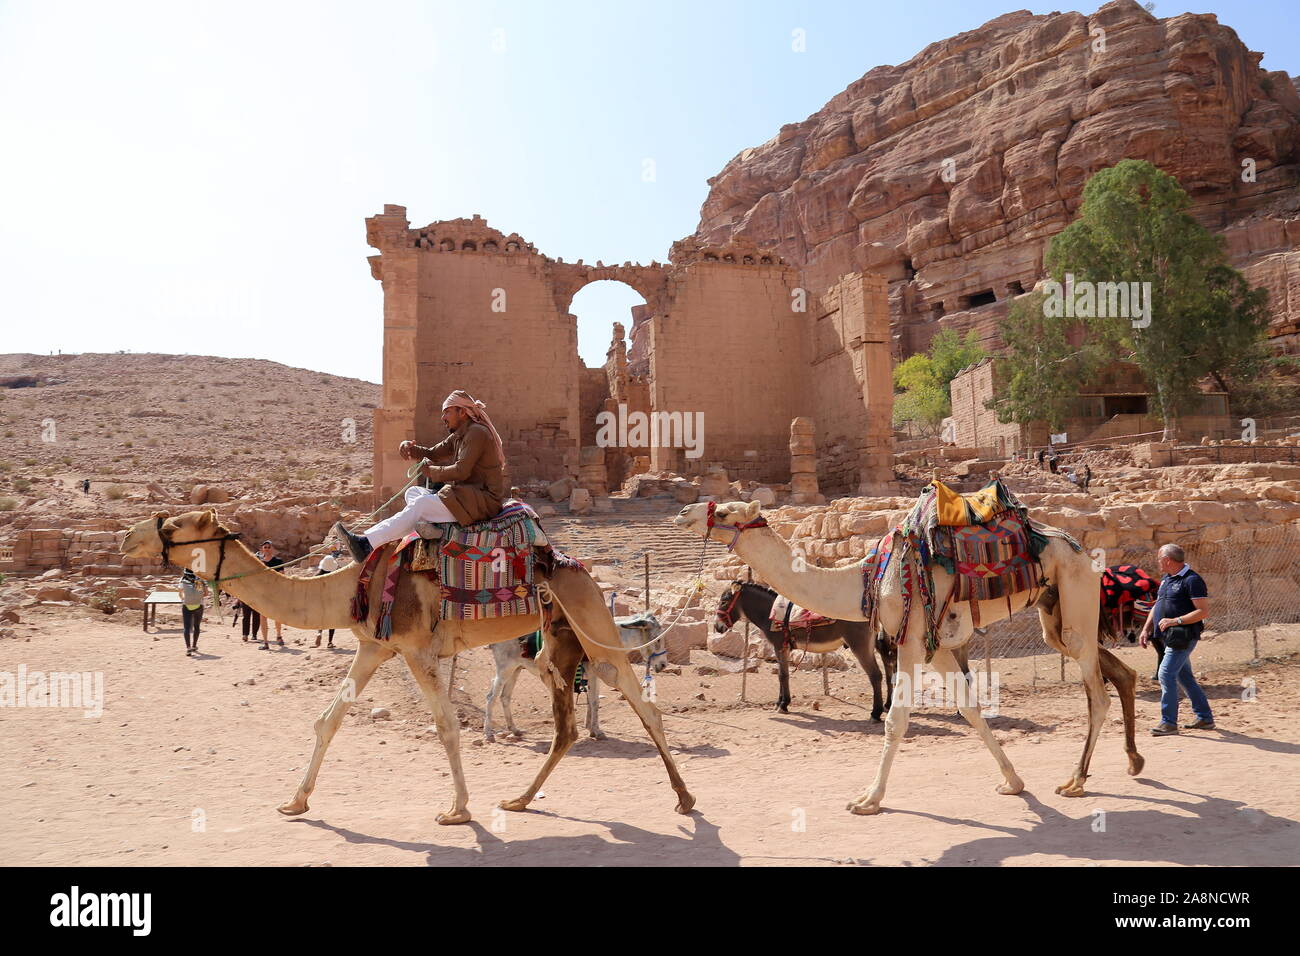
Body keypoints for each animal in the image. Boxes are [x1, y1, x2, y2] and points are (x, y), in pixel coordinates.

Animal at [119, 512, 691, 827]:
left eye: (170, 525)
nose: (126, 538)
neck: (347, 586)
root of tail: (579, 568)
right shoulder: (374, 646)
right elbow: (327, 720)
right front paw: (295, 801)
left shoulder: (416, 650)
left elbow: (447, 726)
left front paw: (458, 810)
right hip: (557, 642)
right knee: (566, 725)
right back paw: (521, 800)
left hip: (591, 622)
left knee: (640, 701)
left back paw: (685, 800)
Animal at [676, 496, 1144, 816]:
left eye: (725, 513)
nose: (684, 513)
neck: (866, 578)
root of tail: (1083, 549)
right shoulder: (935, 646)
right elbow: (970, 709)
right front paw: (1013, 782)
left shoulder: (911, 640)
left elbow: (895, 721)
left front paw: (868, 798)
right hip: (1054, 611)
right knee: (1114, 670)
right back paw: (1133, 761)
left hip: (1075, 595)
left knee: (1096, 693)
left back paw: (1076, 780)